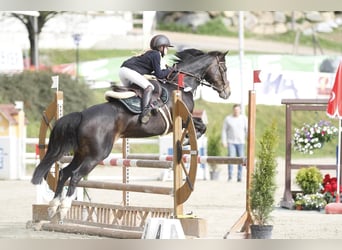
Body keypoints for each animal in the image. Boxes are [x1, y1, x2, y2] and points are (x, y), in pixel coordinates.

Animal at [31, 47, 230, 220]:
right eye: (224, 69)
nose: (227, 93)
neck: (180, 85)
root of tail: (82, 115)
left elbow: (201, 125)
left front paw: (187, 141)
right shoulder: (177, 120)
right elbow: (200, 126)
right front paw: (188, 141)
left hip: (81, 153)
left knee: (64, 172)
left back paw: (53, 206)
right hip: (96, 155)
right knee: (75, 175)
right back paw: (64, 207)